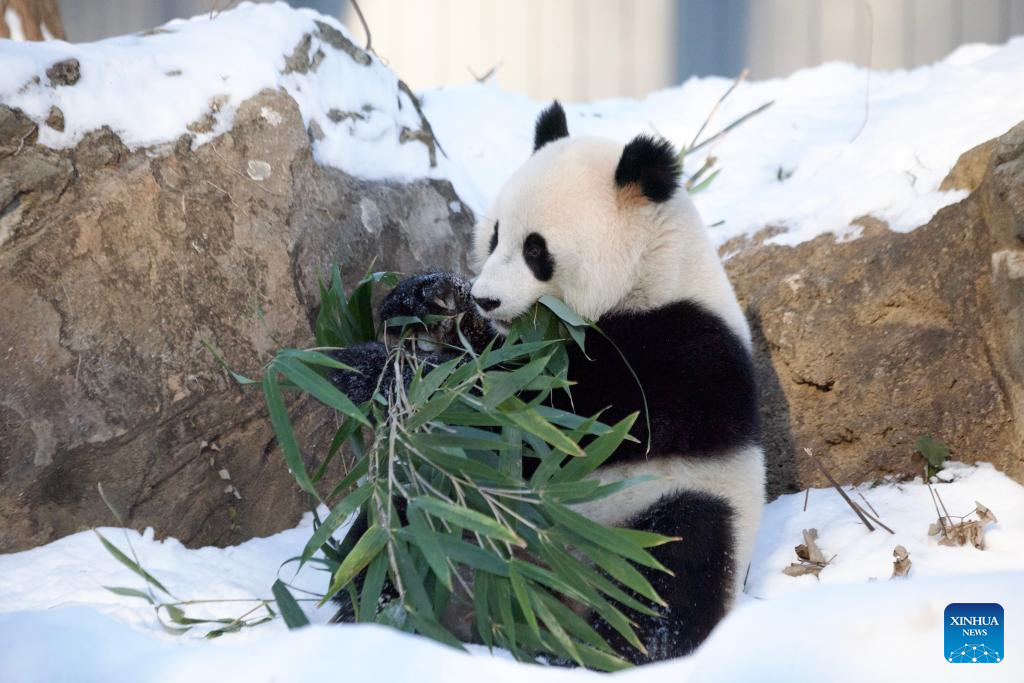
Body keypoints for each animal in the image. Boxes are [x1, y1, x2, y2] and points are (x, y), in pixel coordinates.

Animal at [325, 102, 761, 667]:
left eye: (537, 250)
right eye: (494, 236)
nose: (487, 298)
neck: (653, 270)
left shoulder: (675, 353)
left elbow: (548, 414)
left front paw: (373, 368)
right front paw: (426, 298)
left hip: (668, 505)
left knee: (672, 566)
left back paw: (609, 650)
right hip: (446, 505)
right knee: (394, 532)